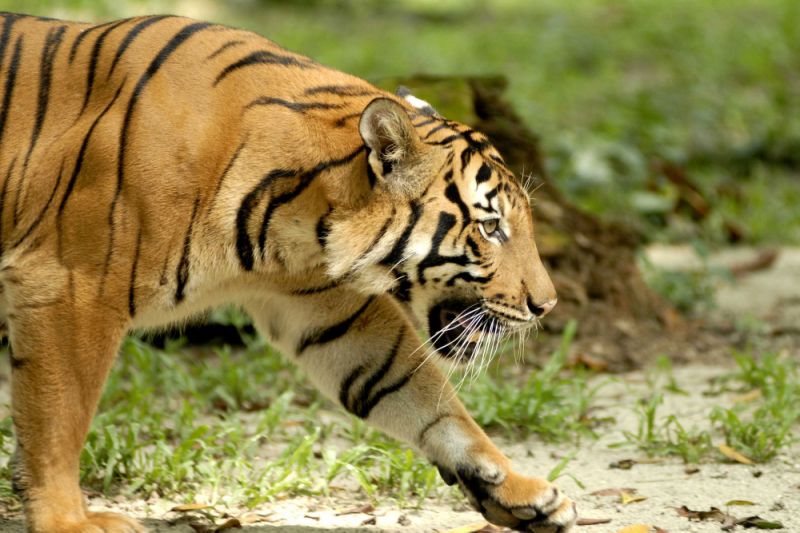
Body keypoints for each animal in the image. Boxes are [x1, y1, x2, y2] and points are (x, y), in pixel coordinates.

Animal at [0, 12, 576, 533]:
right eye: (491, 227)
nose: (546, 305)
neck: (305, 218)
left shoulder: (328, 310)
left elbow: (422, 395)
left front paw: (519, 490)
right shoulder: (71, 286)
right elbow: (60, 417)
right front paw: (66, 522)